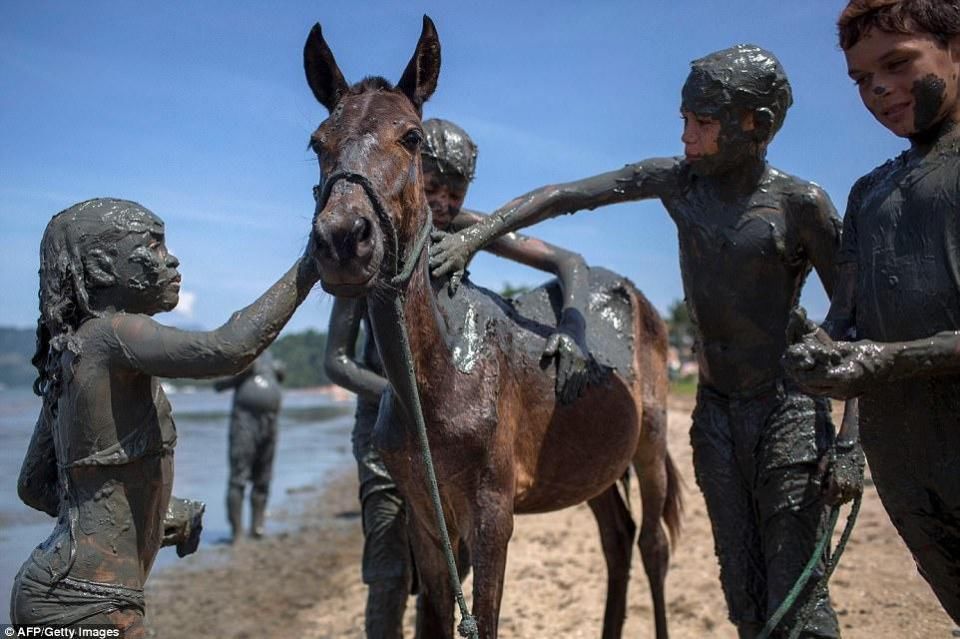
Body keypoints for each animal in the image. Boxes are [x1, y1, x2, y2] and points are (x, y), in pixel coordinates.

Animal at [304, 17, 680, 636]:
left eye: (411, 137)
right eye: (317, 142)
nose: (341, 239)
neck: (442, 375)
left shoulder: (492, 515)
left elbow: (485, 617)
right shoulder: (427, 519)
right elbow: (436, 614)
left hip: (650, 439)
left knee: (653, 544)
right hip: (589, 464)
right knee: (617, 539)